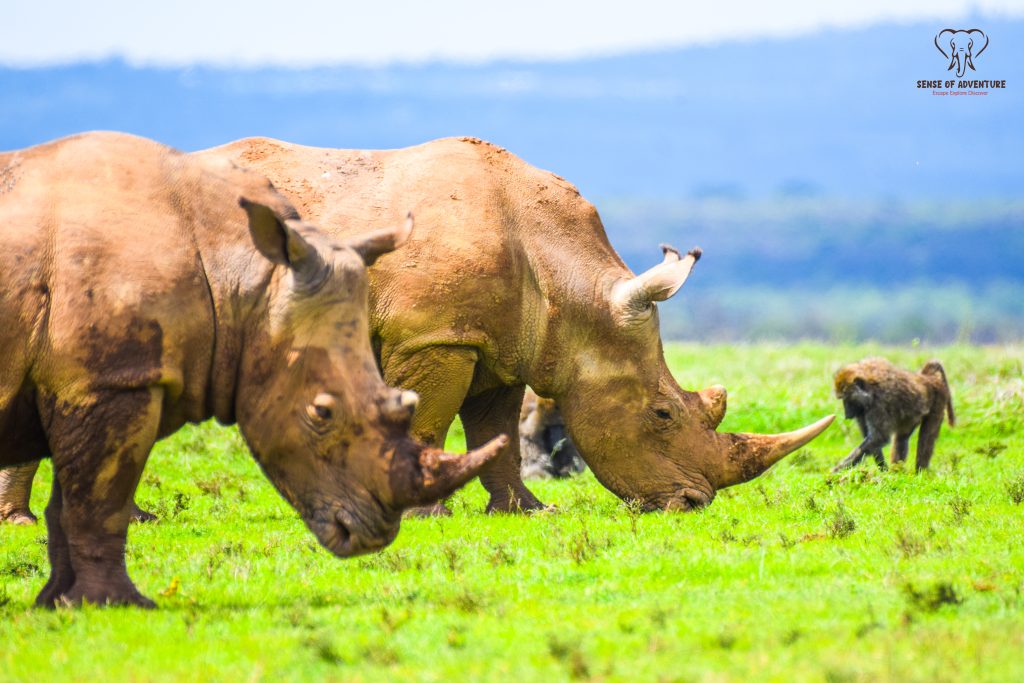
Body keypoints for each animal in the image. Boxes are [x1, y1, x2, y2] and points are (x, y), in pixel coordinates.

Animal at [0, 132, 506, 607]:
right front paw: (113, 604)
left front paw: (60, 602)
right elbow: (96, 494)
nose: (375, 534)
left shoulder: (92, 378)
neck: (239, 279)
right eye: (321, 414)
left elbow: (73, 496)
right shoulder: (105, 380)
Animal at [202, 136, 831, 514]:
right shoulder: (436, 336)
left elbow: (495, 431)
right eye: (662, 415)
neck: (571, 285)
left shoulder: (502, 345)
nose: (693, 504)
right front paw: (428, 512)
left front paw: (526, 511)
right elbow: (429, 422)